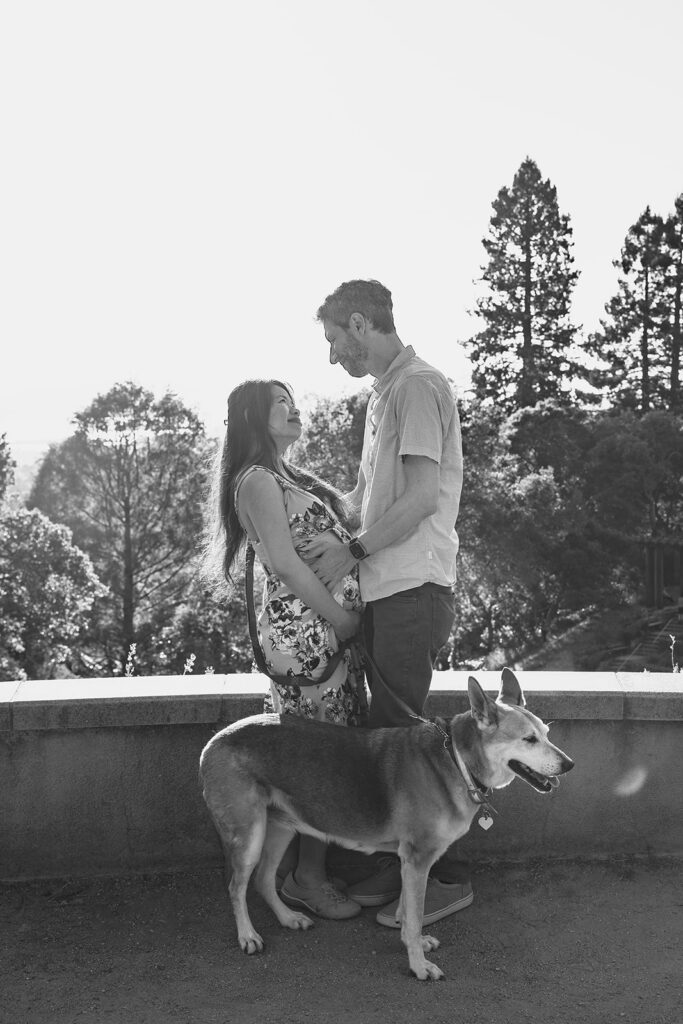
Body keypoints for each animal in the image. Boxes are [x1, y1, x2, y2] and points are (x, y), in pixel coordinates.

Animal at [200, 667, 573, 978]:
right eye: (528, 739)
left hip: (281, 826)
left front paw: (415, 946)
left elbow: (408, 914)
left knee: (264, 879)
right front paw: (419, 966)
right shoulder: (418, 860)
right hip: (249, 835)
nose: (569, 765)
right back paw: (248, 935)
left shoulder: (410, 862)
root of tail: (214, 740)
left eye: (547, 733)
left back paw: (288, 917)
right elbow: (413, 917)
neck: (456, 760)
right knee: (237, 886)